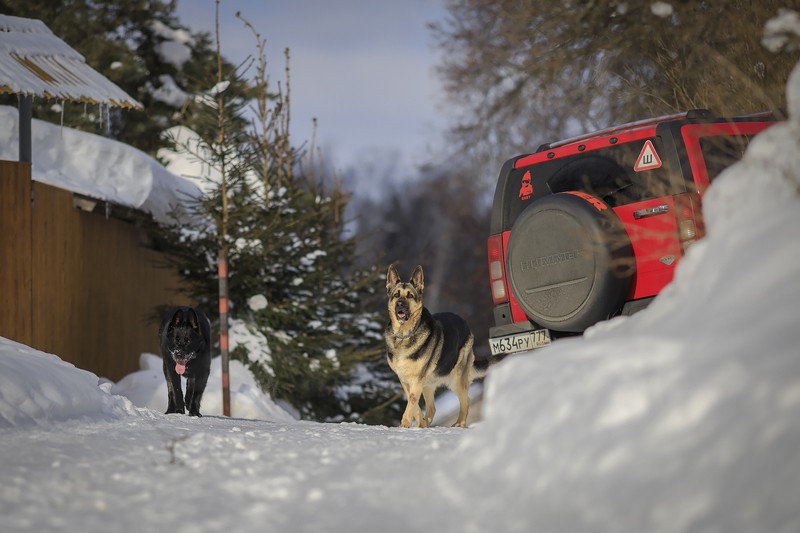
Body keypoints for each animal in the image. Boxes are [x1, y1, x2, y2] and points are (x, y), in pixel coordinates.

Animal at [382, 264, 488, 426]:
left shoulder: (417, 380)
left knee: (466, 400)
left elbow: (412, 402)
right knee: (432, 408)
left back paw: (459, 424)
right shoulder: (406, 381)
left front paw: (404, 425)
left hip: (456, 379)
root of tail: (464, 322)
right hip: (429, 384)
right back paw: (425, 424)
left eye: (410, 296)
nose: (400, 304)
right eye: (396, 295)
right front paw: (419, 423)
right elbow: (414, 404)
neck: (405, 335)